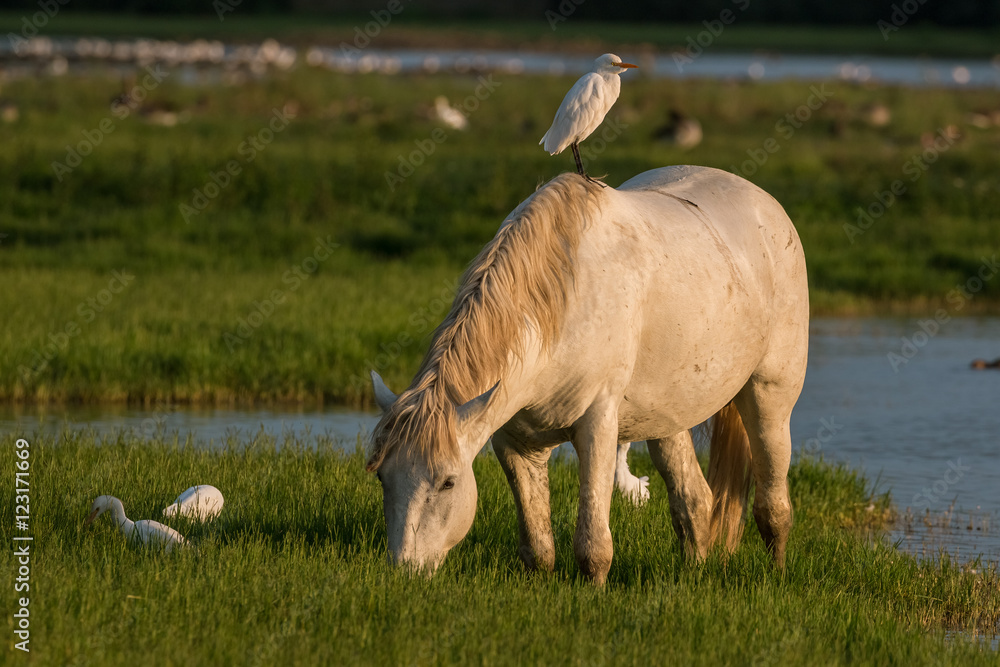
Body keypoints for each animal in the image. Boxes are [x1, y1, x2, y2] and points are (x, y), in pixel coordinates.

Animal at [367, 166, 809, 585]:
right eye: (383, 478)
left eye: (448, 483)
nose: (404, 572)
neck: (561, 306)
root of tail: (763, 201)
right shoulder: (515, 443)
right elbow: (538, 549)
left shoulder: (597, 427)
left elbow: (593, 545)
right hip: (667, 419)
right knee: (695, 500)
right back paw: (692, 576)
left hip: (770, 399)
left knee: (773, 507)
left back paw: (777, 575)